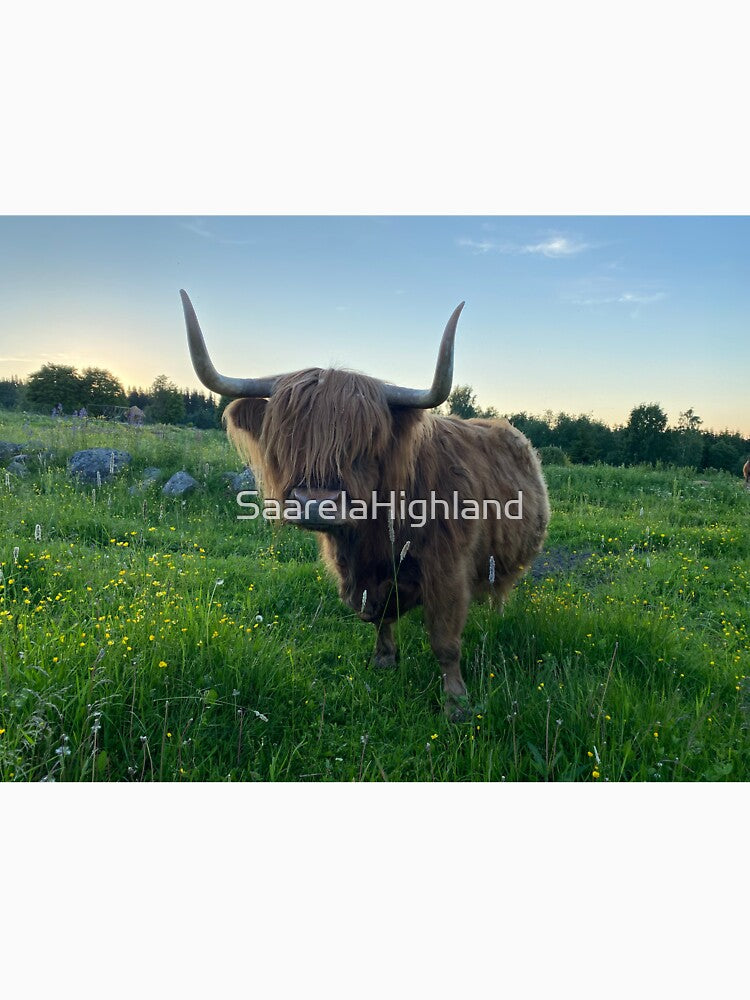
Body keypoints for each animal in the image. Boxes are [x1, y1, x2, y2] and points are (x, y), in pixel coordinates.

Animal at [180, 290, 550, 719]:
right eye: (287, 442)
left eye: (364, 447)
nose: (315, 504)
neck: (376, 531)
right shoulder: (359, 573)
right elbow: (377, 614)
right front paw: (384, 659)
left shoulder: (448, 570)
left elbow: (444, 639)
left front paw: (456, 702)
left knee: (498, 588)